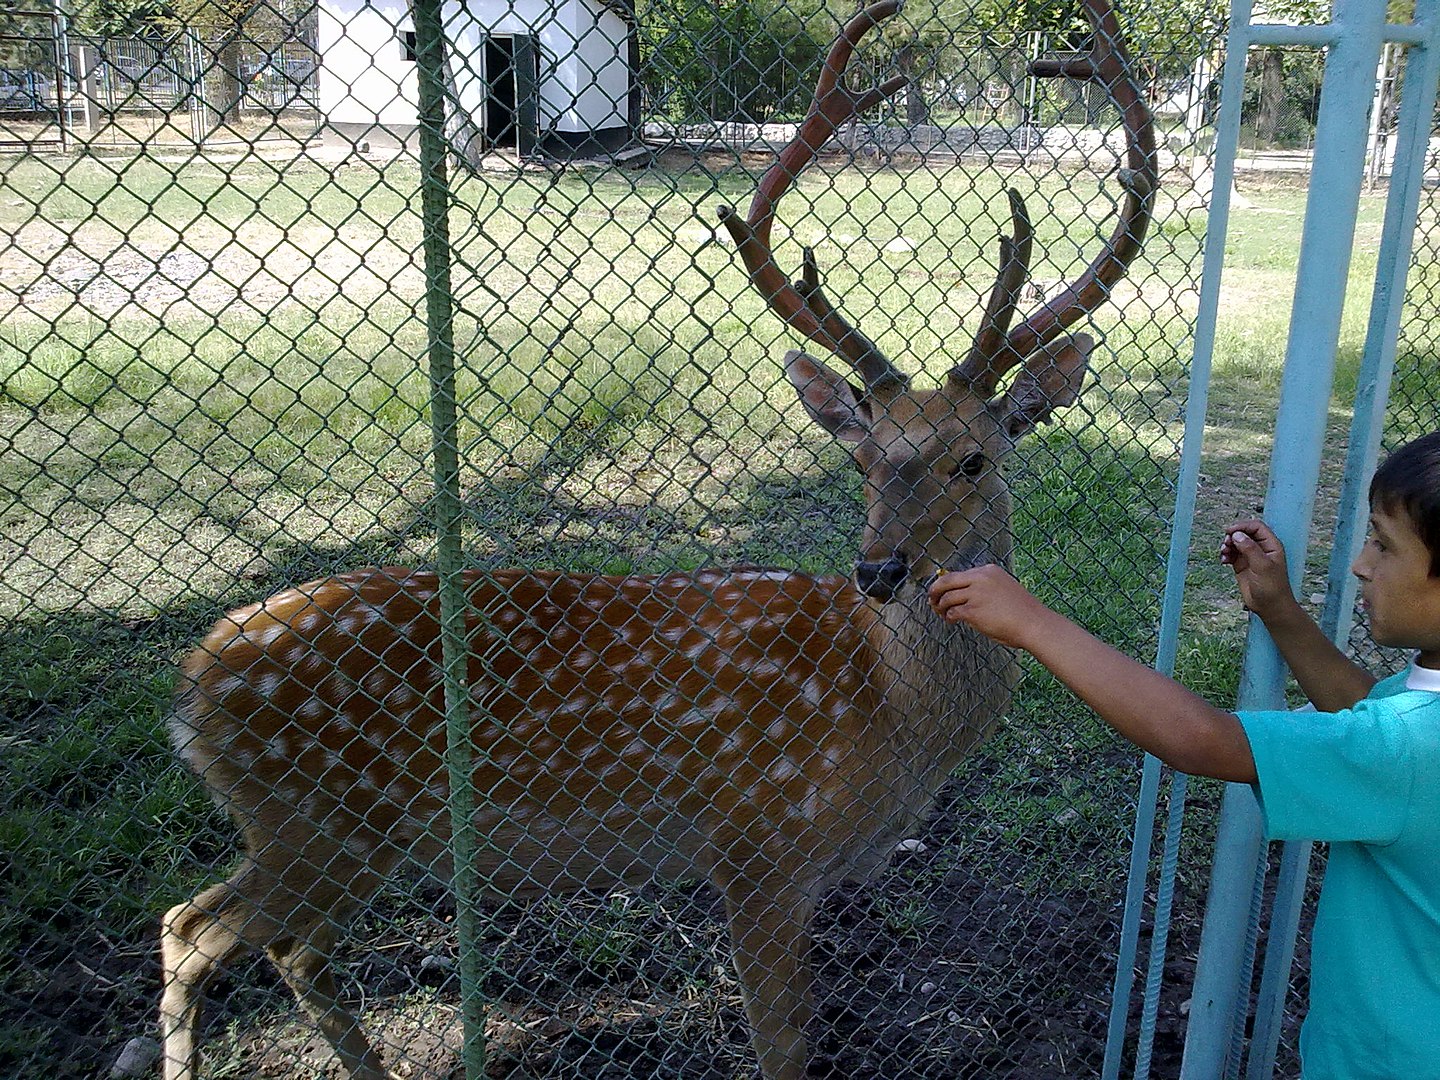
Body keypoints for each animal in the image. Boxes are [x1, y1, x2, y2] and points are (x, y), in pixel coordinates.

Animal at [157, 2, 1152, 1080]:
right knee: (193, 927)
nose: (879, 568)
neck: (896, 724)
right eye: (864, 456)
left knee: (271, 943)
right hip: (314, 821)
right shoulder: (758, 847)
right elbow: (784, 1043)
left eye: (973, 459)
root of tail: (194, 680)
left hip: (340, 837)